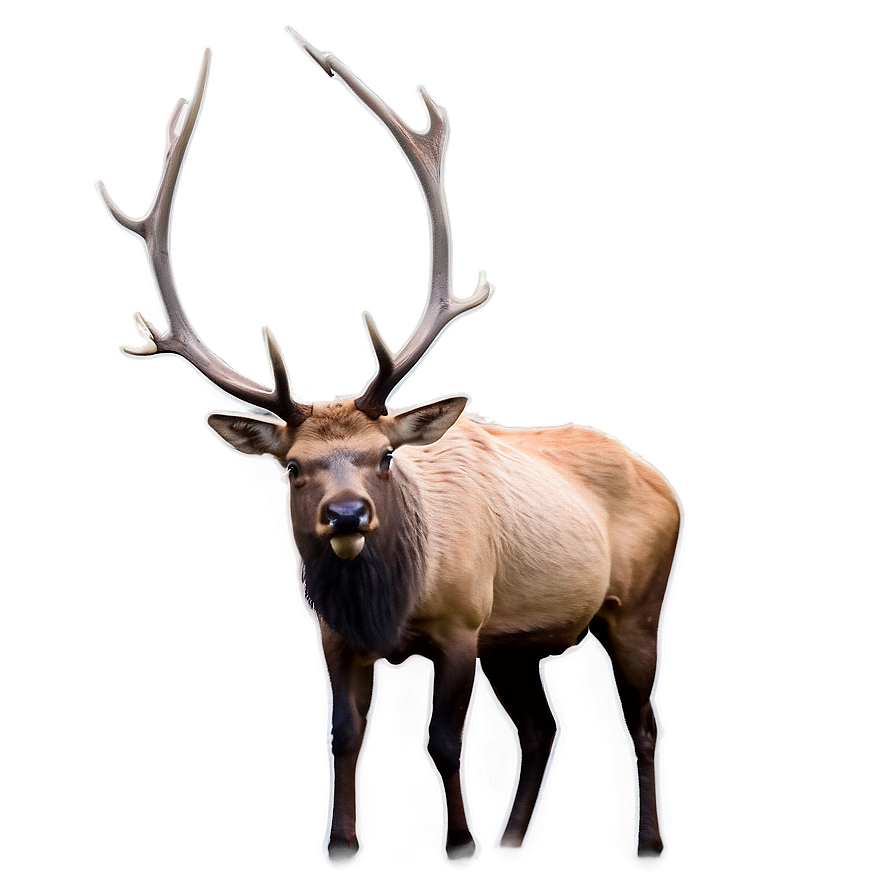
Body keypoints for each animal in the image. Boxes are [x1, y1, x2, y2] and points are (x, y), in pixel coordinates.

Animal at [96, 25, 681, 862]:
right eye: (293, 466)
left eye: (386, 455)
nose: (346, 515)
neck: (389, 604)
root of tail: (665, 481)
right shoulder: (338, 639)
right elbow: (344, 735)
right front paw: (343, 843)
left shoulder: (463, 624)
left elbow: (442, 740)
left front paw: (459, 843)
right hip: (520, 641)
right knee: (543, 727)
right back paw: (516, 842)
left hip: (635, 607)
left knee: (641, 723)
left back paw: (647, 843)